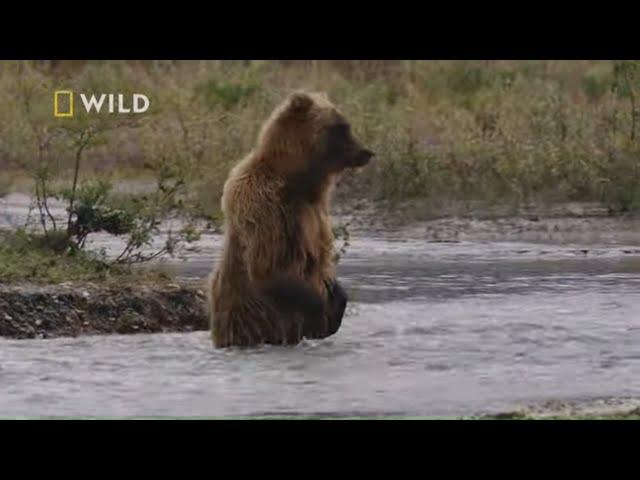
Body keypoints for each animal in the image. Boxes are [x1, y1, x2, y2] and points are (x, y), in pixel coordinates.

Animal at [208, 90, 372, 346]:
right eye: (341, 127)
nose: (366, 152)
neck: (300, 180)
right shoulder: (265, 203)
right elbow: (269, 266)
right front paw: (321, 308)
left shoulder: (316, 213)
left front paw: (336, 295)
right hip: (245, 321)